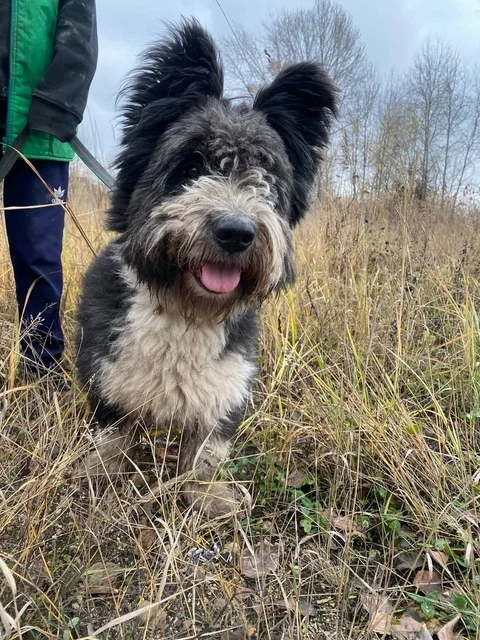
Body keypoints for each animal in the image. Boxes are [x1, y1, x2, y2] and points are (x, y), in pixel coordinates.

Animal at [76, 20, 338, 516]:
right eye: (192, 165)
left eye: (267, 177)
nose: (236, 232)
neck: (185, 310)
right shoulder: (106, 376)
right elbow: (111, 435)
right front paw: (98, 476)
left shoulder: (226, 386)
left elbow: (207, 449)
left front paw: (208, 495)